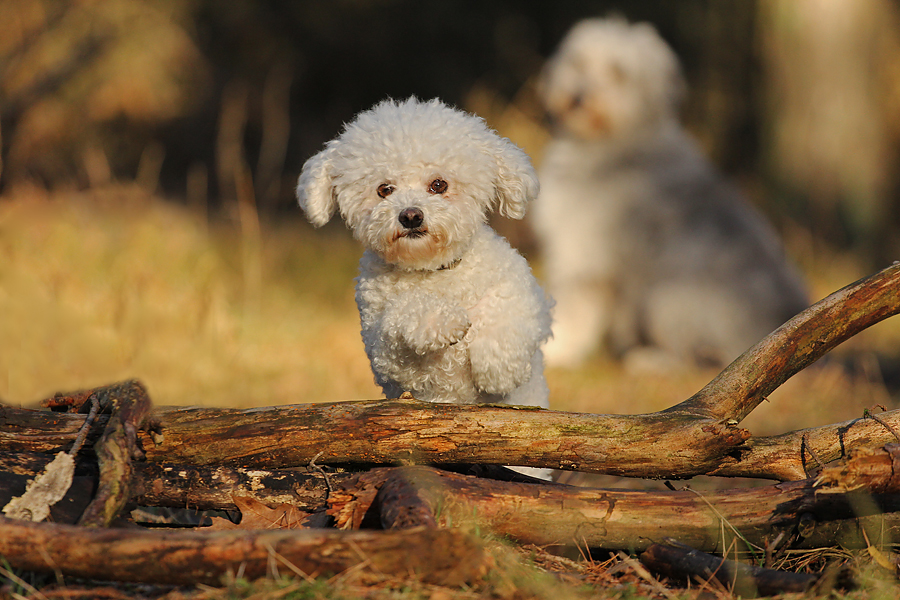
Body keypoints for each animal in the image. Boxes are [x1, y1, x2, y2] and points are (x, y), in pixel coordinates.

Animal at [296, 97, 552, 408]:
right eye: (384, 189)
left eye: (438, 185)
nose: (410, 216)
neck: (433, 270)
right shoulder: (384, 353)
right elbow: (402, 315)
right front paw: (440, 319)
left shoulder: (526, 292)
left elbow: (509, 311)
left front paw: (498, 371)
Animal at [536, 18, 808, 370]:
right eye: (579, 63)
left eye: (618, 73)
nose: (579, 96)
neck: (617, 140)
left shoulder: (585, 256)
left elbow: (572, 309)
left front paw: (556, 351)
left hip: (662, 301)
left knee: (702, 359)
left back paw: (647, 360)